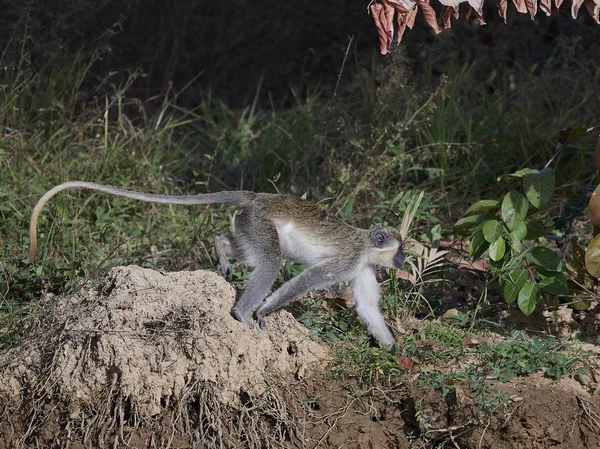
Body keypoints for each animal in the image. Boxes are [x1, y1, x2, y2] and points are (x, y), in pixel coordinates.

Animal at [27, 180, 404, 344]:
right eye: (400, 250)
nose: (402, 261)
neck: (367, 246)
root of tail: (255, 197)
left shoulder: (364, 268)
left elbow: (368, 308)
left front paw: (396, 353)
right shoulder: (349, 259)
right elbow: (307, 279)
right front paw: (264, 313)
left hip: (247, 224)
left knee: (247, 250)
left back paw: (223, 250)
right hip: (258, 221)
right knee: (270, 262)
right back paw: (243, 312)